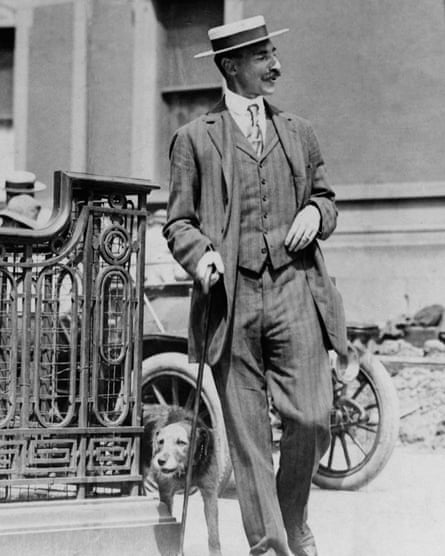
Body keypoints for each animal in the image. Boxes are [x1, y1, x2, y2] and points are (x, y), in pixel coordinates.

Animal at [141, 404, 221, 556]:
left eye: (181, 442)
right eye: (161, 442)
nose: (160, 461)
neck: (188, 468)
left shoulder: (210, 493)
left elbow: (213, 533)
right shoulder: (166, 494)